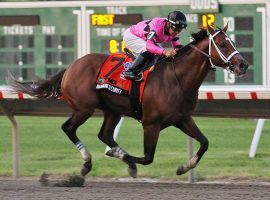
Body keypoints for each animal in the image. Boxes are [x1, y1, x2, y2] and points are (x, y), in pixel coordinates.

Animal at [8, 24, 249, 177]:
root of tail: (70, 67)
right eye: (223, 44)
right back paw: (87, 162)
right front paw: (126, 160)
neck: (177, 78)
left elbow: (205, 142)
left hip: (112, 110)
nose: (243, 64)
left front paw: (183, 167)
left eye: (232, 41)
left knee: (104, 134)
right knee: (68, 128)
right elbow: (148, 157)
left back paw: (113, 152)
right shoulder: (151, 123)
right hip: (84, 108)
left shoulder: (183, 119)